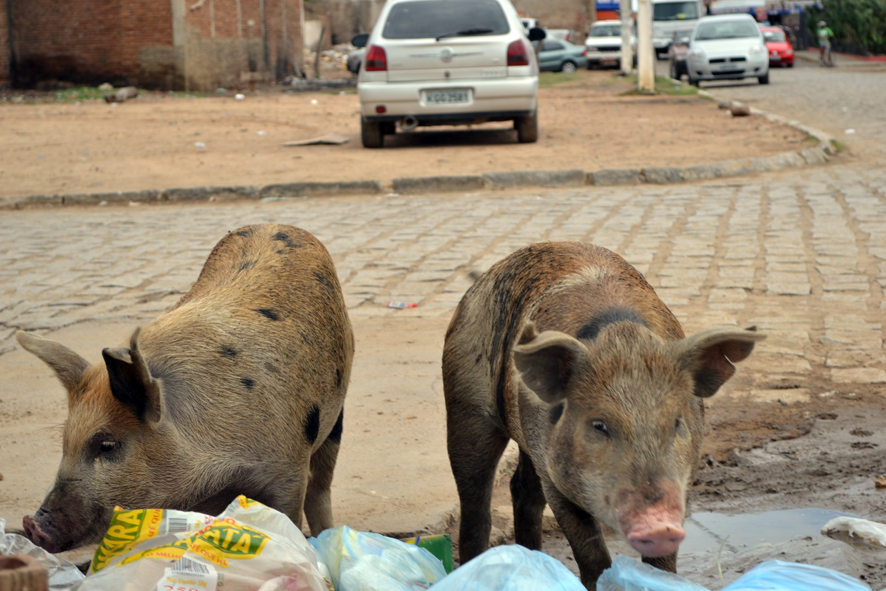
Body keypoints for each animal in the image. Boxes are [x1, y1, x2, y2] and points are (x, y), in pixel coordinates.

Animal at [14, 225, 354, 556]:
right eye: (64, 442)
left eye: (107, 445)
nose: (32, 524)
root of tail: (278, 225)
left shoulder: (289, 466)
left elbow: (291, 512)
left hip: (337, 415)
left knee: (321, 485)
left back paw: (326, 535)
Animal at [444, 242, 764, 588]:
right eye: (599, 425)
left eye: (677, 422)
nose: (659, 525)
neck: (624, 345)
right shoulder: (554, 476)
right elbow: (592, 556)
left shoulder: (684, 477)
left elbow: (662, 563)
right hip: (464, 404)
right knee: (475, 507)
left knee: (522, 491)